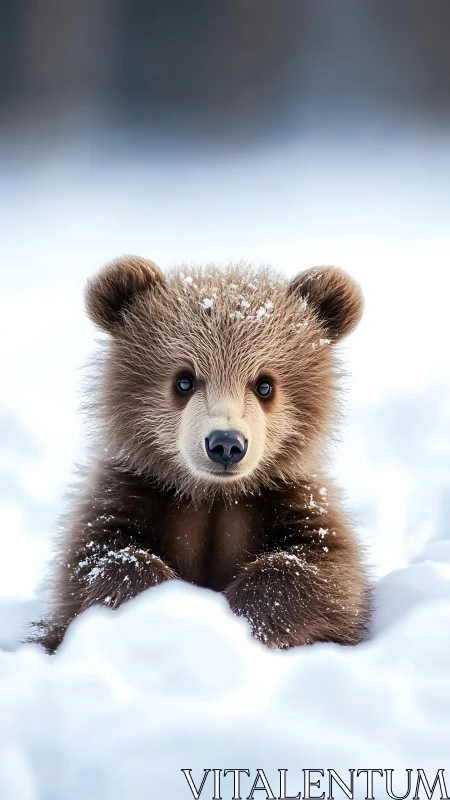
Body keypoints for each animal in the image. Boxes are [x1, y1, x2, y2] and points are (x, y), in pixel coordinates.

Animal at [34, 256, 370, 652]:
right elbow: (97, 561)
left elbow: (322, 569)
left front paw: (246, 617)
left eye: (265, 384)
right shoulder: (131, 492)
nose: (226, 443)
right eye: (184, 380)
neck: (212, 495)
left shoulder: (288, 498)